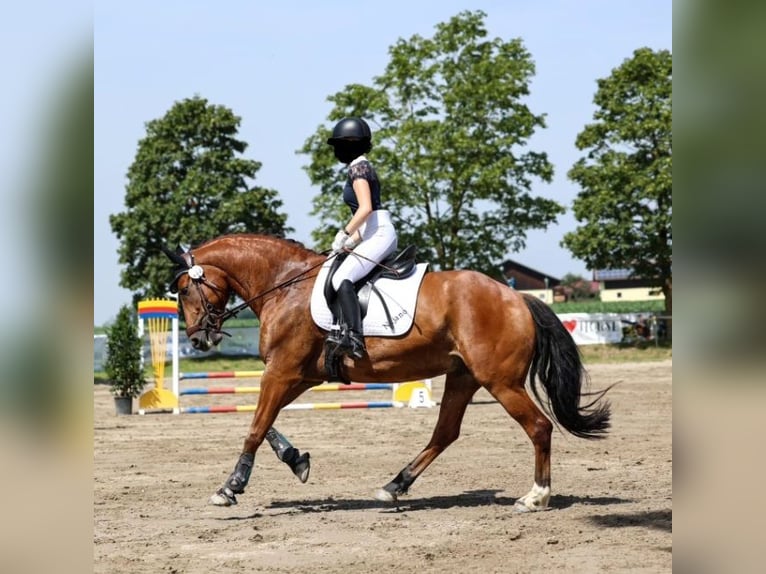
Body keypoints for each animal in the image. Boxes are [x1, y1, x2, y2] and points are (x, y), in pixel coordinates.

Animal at [166, 234, 612, 512]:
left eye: (185, 290)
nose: (199, 338)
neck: (284, 285)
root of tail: (517, 297)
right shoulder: (298, 375)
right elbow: (267, 425)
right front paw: (297, 461)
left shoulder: (282, 372)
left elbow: (256, 428)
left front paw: (230, 487)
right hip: (464, 376)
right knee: (445, 433)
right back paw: (394, 486)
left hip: (499, 381)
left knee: (538, 426)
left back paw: (535, 497)